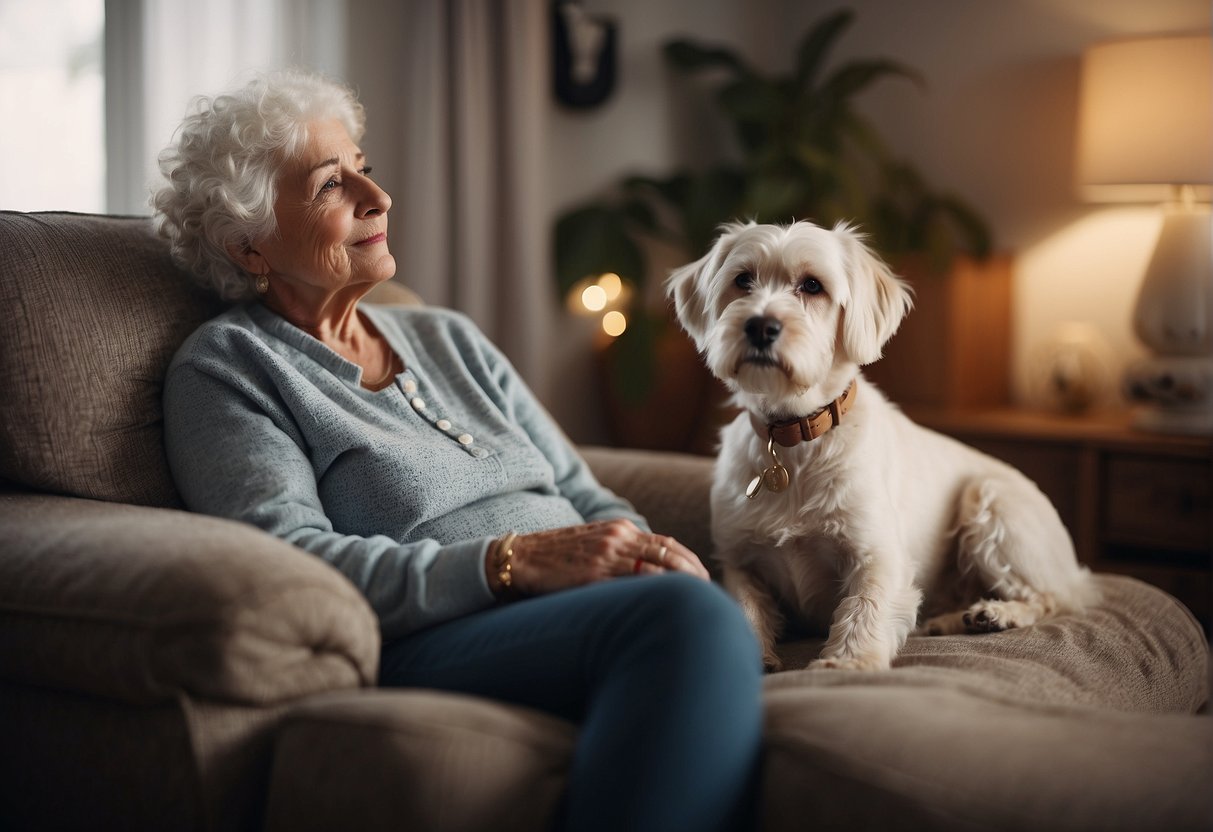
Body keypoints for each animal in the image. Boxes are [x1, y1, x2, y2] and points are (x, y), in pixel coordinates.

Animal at [669, 221, 1096, 669]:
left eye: (812, 285)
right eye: (742, 280)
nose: (760, 326)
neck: (794, 439)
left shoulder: (879, 554)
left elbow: (865, 607)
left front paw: (846, 663)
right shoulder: (739, 560)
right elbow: (746, 605)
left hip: (992, 504)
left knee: (1052, 599)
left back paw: (997, 613)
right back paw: (950, 620)